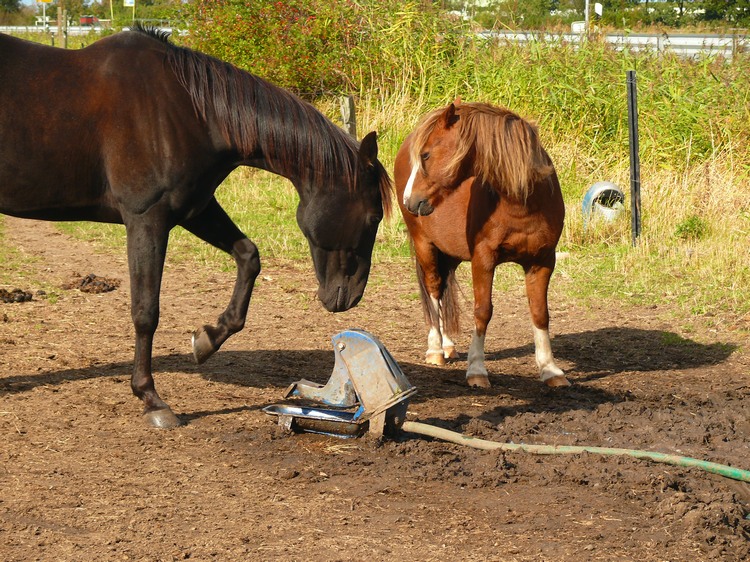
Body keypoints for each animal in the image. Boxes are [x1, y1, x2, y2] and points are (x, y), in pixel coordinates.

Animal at [0, 28, 396, 426]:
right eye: (372, 218)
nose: (350, 296)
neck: (189, 114)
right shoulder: (147, 218)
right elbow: (146, 311)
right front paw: (151, 399)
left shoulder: (195, 209)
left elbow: (248, 256)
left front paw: (207, 339)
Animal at [394, 100, 568, 388]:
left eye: (427, 155)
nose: (410, 199)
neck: (522, 203)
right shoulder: (483, 259)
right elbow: (482, 311)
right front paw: (476, 370)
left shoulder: (542, 261)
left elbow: (540, 313)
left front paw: (550, 369)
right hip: (425, 245)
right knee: (434, 289)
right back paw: (436, 349)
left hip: (449, 252)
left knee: (445, 289)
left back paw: (449, 345)